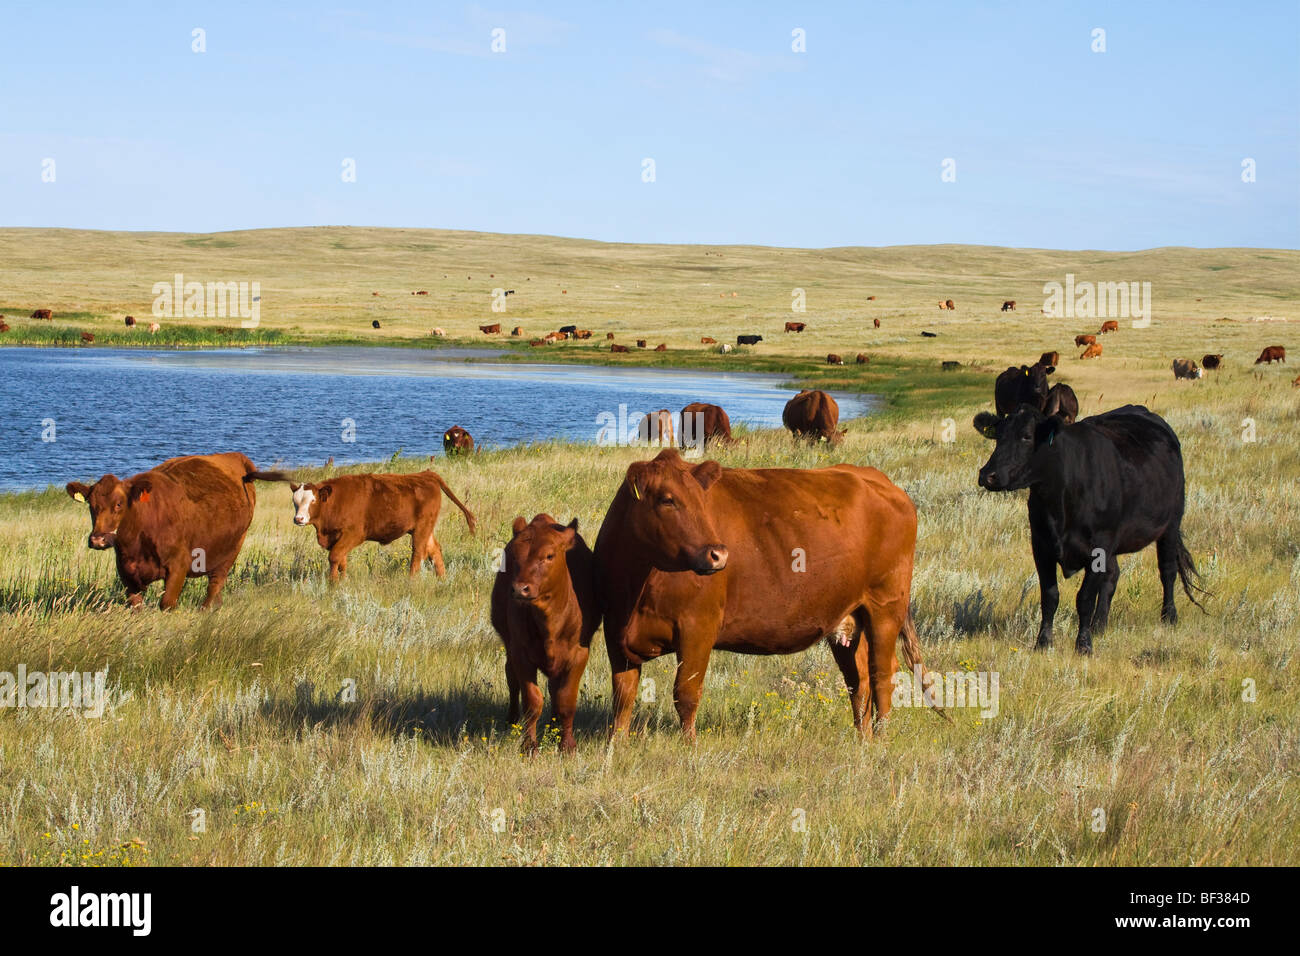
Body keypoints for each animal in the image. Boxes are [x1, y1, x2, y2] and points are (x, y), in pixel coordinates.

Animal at [65, 455, 258, 608]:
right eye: (91, 505)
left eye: (119, 504)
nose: (98, 540)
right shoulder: (126, 573)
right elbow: (136, 606)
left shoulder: (178, 566)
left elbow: (167, 604)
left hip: (232, 549)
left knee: (215, 584)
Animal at [248, 468, 478, 587]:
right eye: (295, 501)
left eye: (312, 501)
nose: (299, 518)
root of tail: (425, 474)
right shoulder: (337, 537)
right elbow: (341, 559)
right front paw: (342, 581)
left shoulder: (354, 534)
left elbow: (334, 556)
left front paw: (332, 583)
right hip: (423, 528)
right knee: (434, 550)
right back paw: (442, 579)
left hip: (421, 528)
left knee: (418, 553)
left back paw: (411, 580)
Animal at [488, 515, 600, 754]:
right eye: (514, 555)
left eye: (549, 555)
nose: (520, 589)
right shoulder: (520, 653)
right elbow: (532, 701)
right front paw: (529, 746)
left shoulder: (579, 655)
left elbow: (566, 700)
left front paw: (566, 744)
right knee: (511, 678)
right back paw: (511, 721)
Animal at [595, 447, 941, 738]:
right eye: (667, 499)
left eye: (703, 500)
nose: (718, 554)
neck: (637, 587)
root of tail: (875, 477)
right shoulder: (615, 631)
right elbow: (623, 696)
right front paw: (616, 746)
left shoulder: (698, 628)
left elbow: (686, 694)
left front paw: (688, 747)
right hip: (850, 616)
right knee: (859, 680)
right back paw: (863, 740)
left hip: (886, 606)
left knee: (882, 673)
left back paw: (880, 740)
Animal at [977, 403, 1206, 658]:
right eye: (998, 436)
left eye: (1026, 436)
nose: (987, 475)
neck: (1059, 503)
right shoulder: (1041, 546)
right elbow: (1050, 596)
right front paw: (1043, 642)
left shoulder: (1099, 546)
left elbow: (1084, 598)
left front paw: (1083, 645)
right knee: (1112, 576)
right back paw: (1099, 625)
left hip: (1171, 523)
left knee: (1167, 571)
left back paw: (1169, 617)